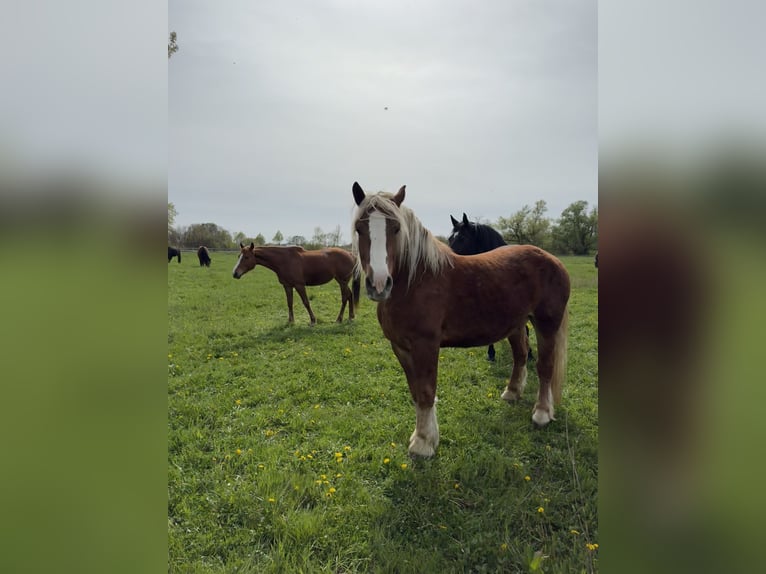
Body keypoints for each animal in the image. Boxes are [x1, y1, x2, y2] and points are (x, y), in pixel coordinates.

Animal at [232, 243, 361, 325]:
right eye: (239, 256)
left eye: (246, 257)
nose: (235, 273)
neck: (284, 260)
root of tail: (351, 255)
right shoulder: (287, 286)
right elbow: (289, 303)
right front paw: (291, 321)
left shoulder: (299, 285)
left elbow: (306, 302)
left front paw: (313, 320)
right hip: (342, 282)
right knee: (350, 295)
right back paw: (351, 317)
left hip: (342, 281)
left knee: (345, 297)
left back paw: (339, 319)